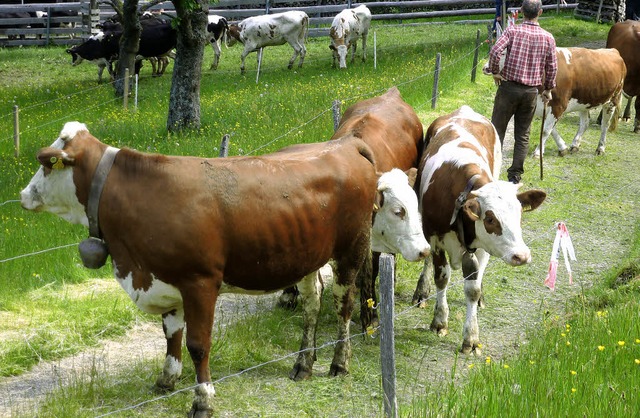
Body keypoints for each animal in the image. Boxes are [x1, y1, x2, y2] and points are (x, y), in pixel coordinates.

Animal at [22, 120, 428, 414]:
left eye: (46, 164)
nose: (25, 195)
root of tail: (344, 145)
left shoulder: (200, 282)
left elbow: (198, 344)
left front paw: (202, 398)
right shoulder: (164, 277)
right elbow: (171, 335)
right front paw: (166, 379)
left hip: (351, 249)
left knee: (343, 305)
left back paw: (339, 364)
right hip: (308, 255)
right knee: (313, 304)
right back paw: (303, 363)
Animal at [416, 106, 544, 354]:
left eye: (519, 214)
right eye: (490, 218)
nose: (522, 256)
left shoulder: (483, 246)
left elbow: (472, 289)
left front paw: (471, 337)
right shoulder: (436, 239)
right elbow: (441, 277)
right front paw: (439, 321)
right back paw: (422, 291)